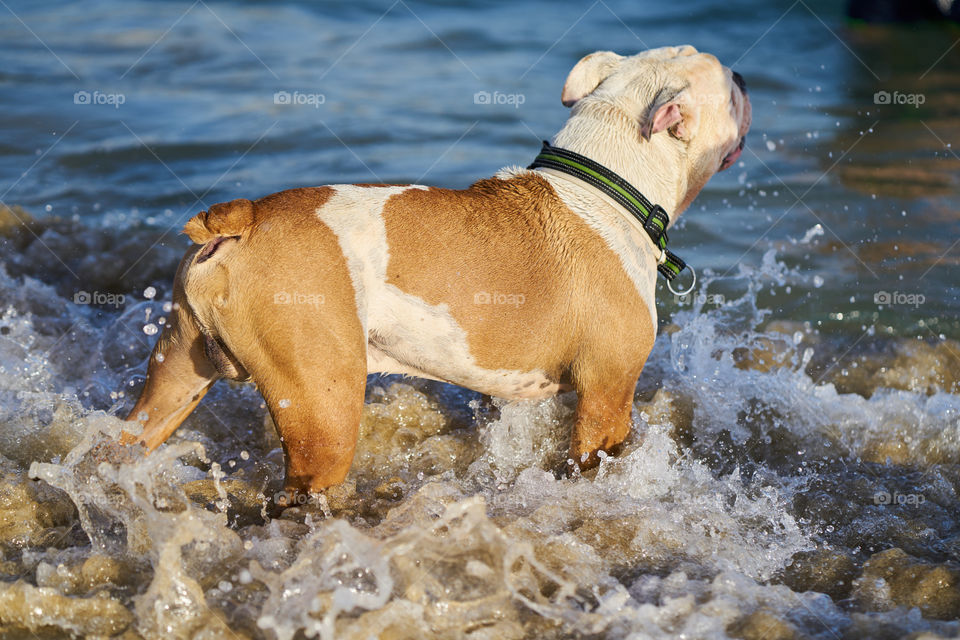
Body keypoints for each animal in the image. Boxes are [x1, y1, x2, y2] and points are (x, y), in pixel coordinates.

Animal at [122, 47, 752, 502]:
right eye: (727, 85)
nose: (746, 75)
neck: (610, 181)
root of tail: (245, 219)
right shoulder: (607, 397)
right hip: (321, 408)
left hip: (175, 377)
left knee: (129, 438)